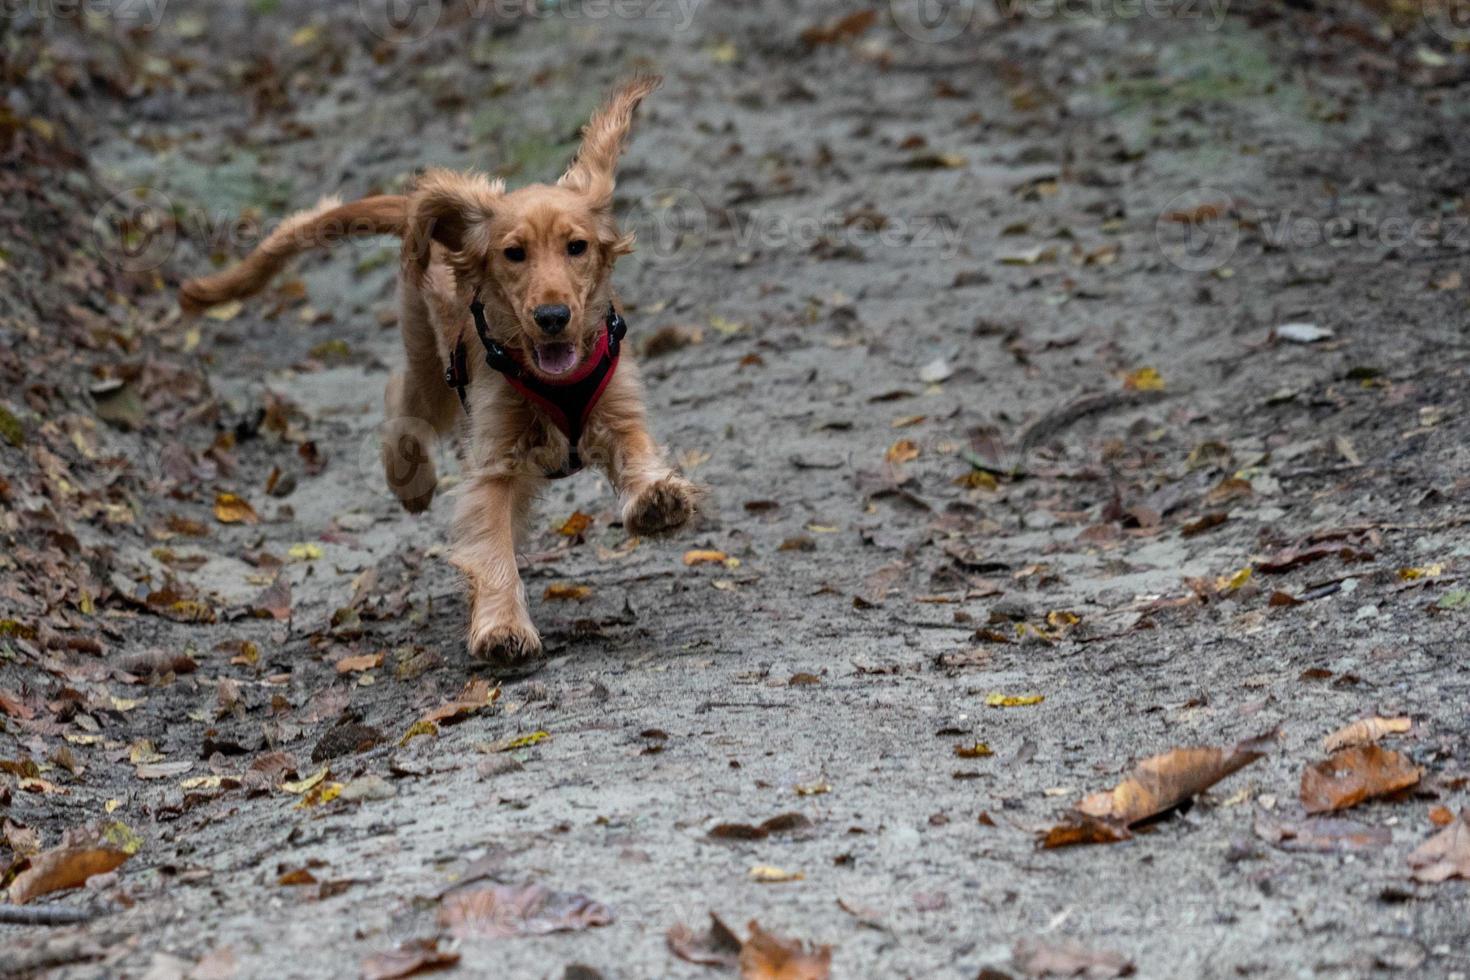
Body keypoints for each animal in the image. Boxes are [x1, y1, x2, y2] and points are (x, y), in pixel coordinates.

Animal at [182, 72, 699, 664]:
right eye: (514, 254)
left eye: (577, 247)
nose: (552, 317)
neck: (553, 379)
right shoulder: (493, 458)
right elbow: (489, 542)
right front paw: (501, 627)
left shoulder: (616, 408)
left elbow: (635, 449)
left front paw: (657, 499)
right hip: (431, 361)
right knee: (400, 396)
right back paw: (411, 480)